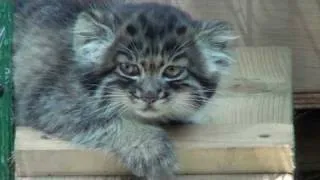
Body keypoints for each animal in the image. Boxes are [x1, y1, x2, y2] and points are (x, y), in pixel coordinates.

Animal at [13, 0, 235, 179]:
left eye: (172, 70)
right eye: (128, 68)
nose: (149, 95)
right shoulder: (49, 100)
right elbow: (107, 118)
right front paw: (150, 148)